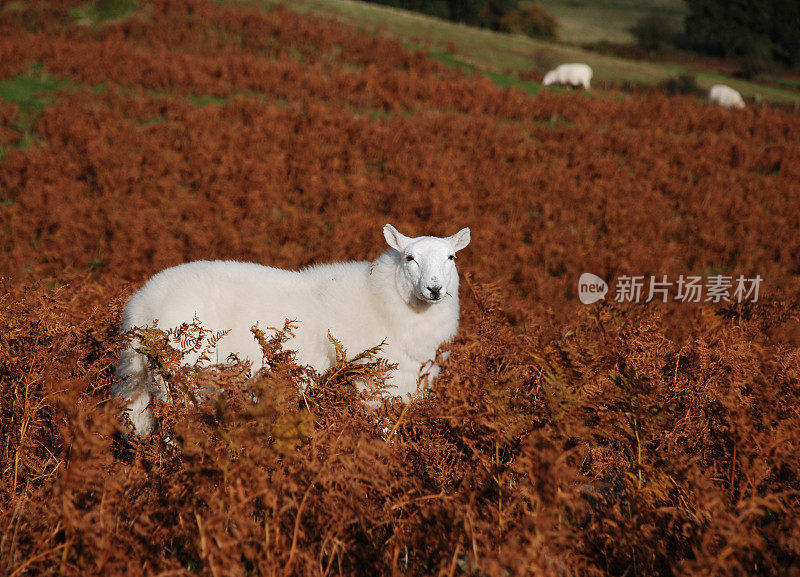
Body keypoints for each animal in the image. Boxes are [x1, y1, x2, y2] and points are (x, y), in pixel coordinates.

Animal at [115, 223, 472, 434]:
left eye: (451, 257)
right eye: (409, 258)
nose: (435, 289)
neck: (382, 297)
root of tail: (141, 306)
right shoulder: (374, 386)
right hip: (176, 376)